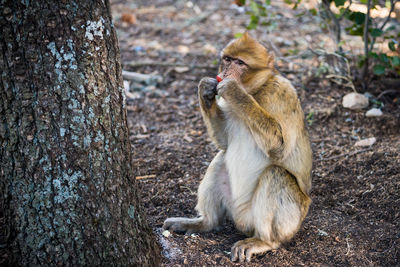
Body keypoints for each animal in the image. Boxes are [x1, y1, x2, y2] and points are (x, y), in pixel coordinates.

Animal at [162, 32, 312, 262]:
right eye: (227, 59)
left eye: (240, 63)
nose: (224, 73)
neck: (257, 90)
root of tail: (243, 222)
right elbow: (224, 142)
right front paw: (205, 89)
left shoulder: (282, 94)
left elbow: (281, 148)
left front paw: (235, 91)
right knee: (220, 158)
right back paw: (204, 222)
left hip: (289, 221)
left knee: (276, 173)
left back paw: (264, 241)